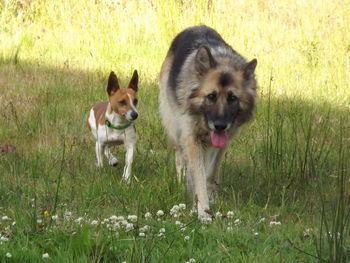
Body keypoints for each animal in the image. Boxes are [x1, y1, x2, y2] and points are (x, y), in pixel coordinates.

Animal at [159, 25, 258, 221]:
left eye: (232, 98)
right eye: (211, 96)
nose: (219, 125)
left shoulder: (224, 141)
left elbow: (210, 172)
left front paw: (211, 198)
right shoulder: (191, 139)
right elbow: (198, 175)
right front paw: (202, 210)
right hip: (175, 128)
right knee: (180, 157)